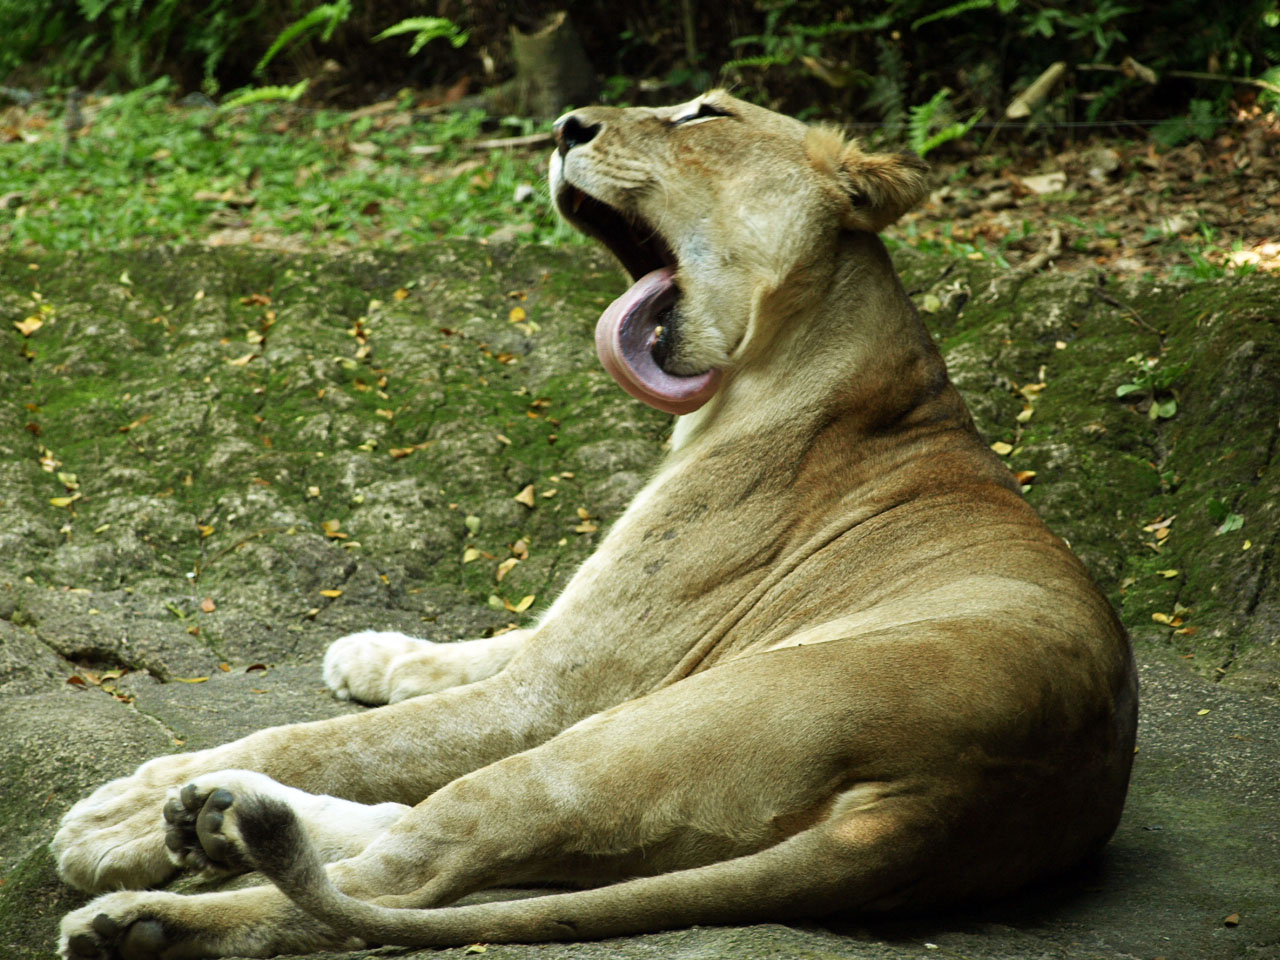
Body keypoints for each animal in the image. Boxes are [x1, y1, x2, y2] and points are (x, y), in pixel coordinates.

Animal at [55, 91, 1137, 960]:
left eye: (707, 114)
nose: (566, 124)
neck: (769, 373)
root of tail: (936, 811)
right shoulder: (575, 643)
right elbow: (473, 647)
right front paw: (370, 653)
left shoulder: (554, 695)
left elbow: (335, 738)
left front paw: (115, 815)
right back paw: (219, 816)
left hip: (619, 740)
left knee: (400, 876)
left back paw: (151, 904)